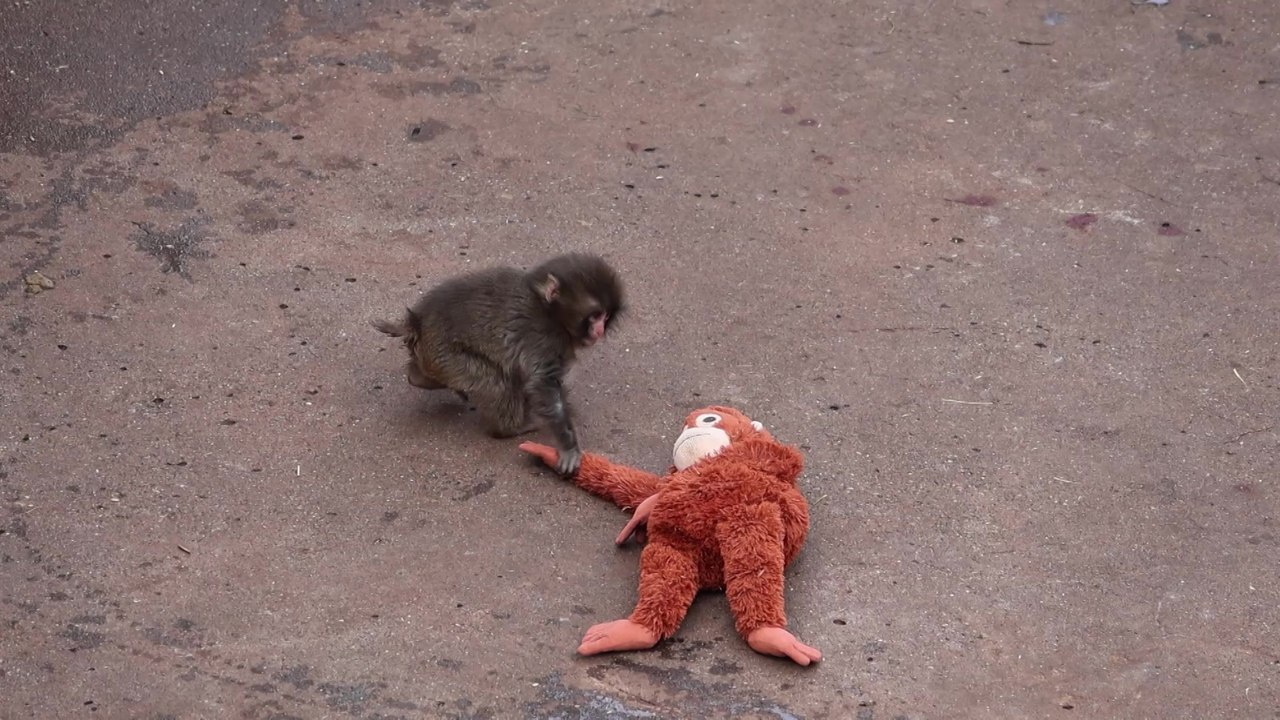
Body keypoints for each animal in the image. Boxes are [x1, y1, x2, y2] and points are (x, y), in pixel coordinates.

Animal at [374, 253, 625, 477]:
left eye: (605, 317)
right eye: (594, 316)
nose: (599, 330)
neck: (549, 311)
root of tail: (417, 322)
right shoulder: (544, 338)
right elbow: (542, 384)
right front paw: (568, 445)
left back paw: (417, 376)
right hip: (448, 354)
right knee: (495, 384)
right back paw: (509, 429)